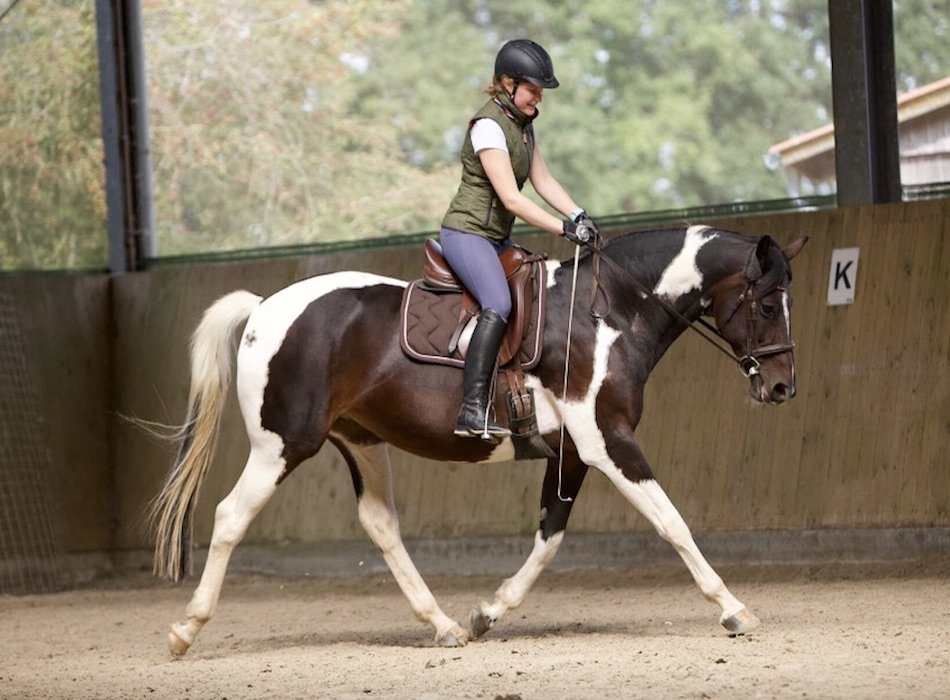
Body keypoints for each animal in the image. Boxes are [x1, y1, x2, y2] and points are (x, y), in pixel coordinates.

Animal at [150, 224, 807, 656]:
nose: (781, 387)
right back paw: (185, 629)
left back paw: (443, 625)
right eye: (766, 303)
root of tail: (265, 307)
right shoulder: (607, 441)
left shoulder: (573, 454)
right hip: (282, 444)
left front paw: (489, 612)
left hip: (362, 441)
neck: (607, 312)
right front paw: (733, 609)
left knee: (381, 525)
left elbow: (549, 539)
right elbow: (672, 523)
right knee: (230, 516)